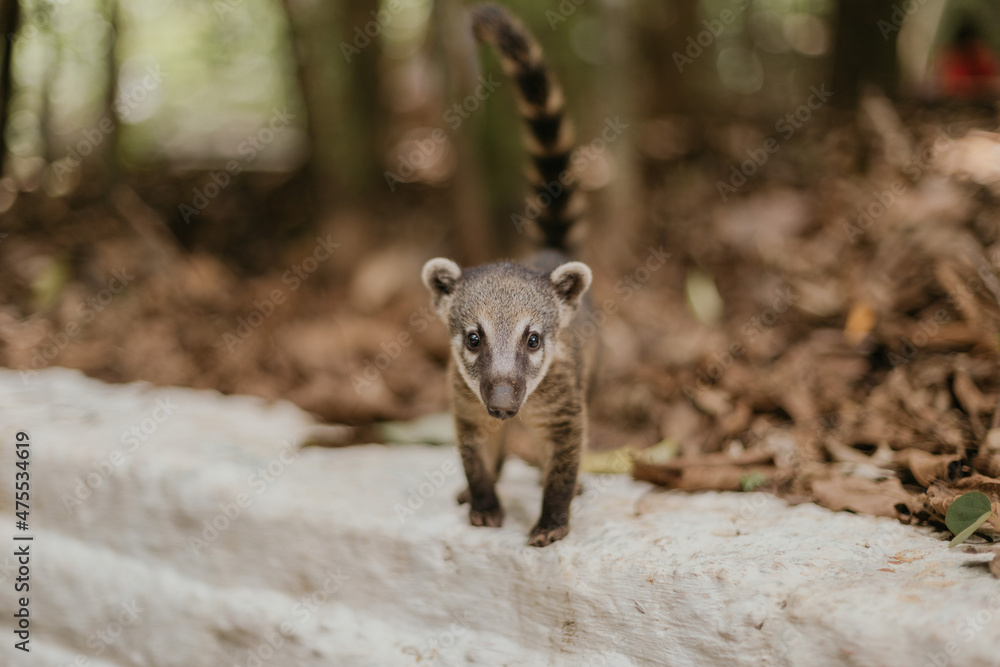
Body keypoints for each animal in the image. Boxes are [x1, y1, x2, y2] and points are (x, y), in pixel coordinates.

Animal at [421, 4, 596, 547]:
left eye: (534, 339)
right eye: (473, 338)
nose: (501, 406)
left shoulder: (565, 398)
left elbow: (565, 456)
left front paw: (553, 516)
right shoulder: (463, 399)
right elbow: (475, 452)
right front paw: (483, 500)